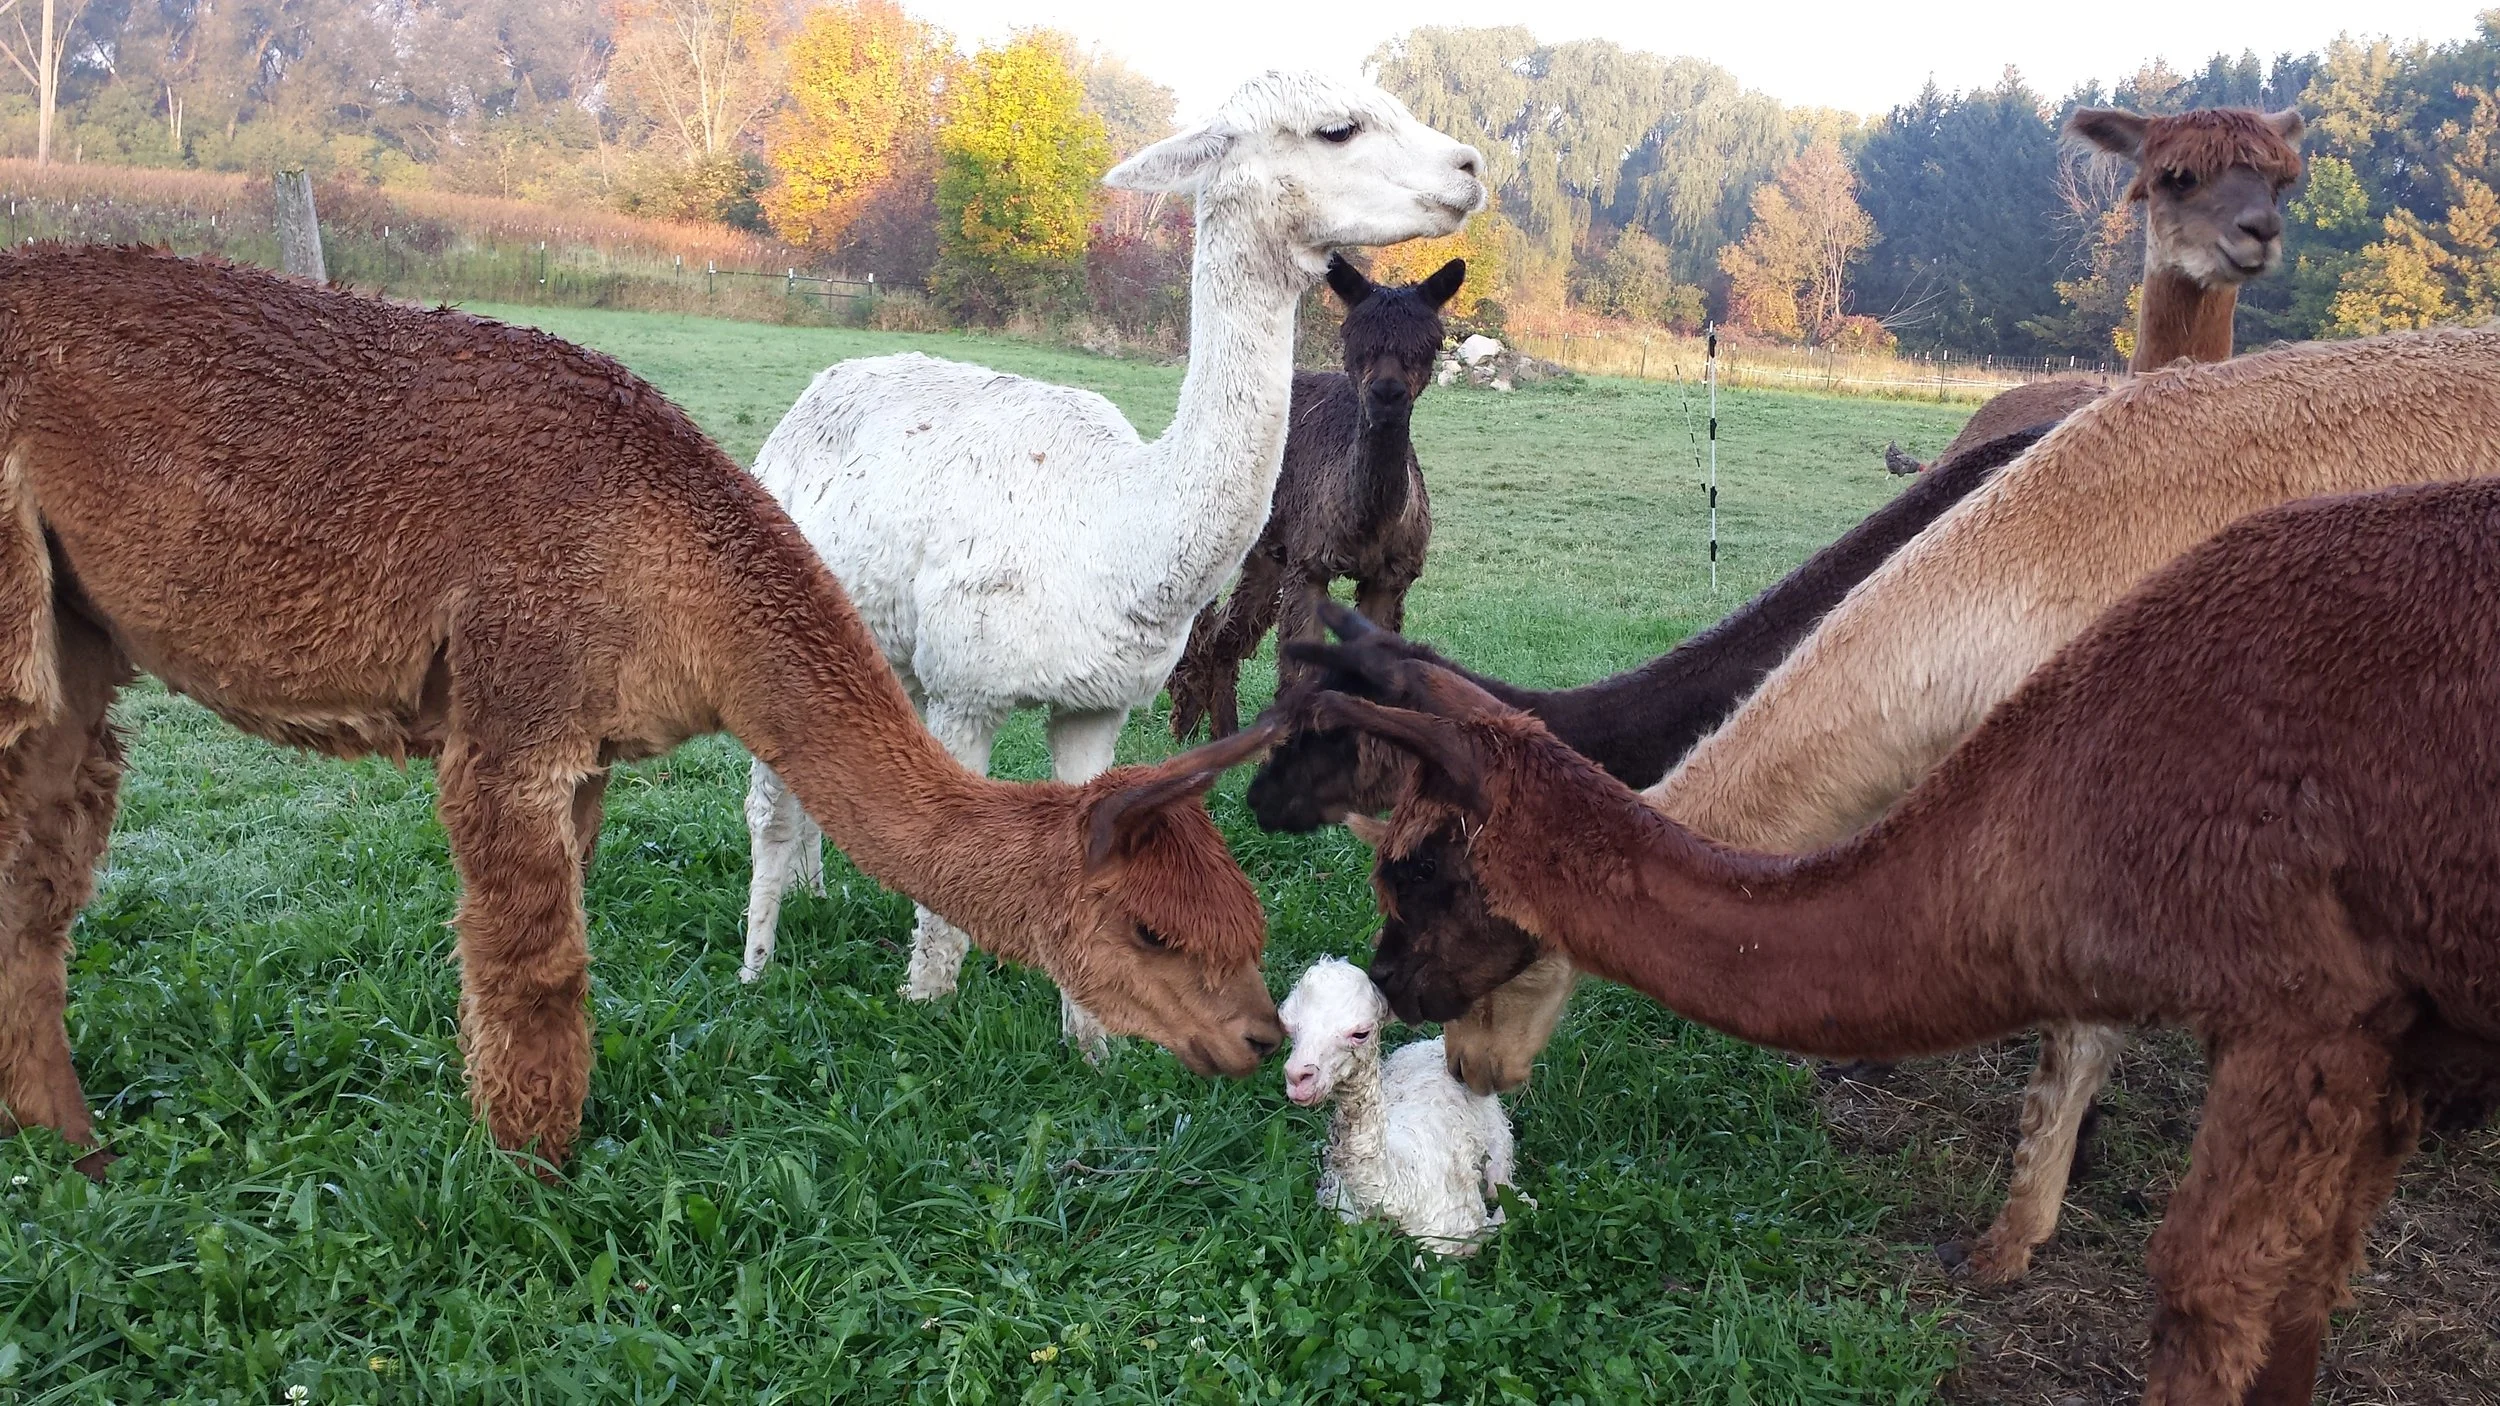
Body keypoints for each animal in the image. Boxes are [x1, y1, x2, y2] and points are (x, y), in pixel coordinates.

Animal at [0, 246, 1286, 1174]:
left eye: (1250, 929)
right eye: (1153, 932)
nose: (1263, 1039)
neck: (676, 564)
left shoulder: (588, 748)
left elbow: (550, 953)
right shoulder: (513, 707)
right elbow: (537, 968)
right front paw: (530, 1184)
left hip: (74, 633)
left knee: (39, 881)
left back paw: (69, 1146)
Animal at [1295, 463, 2500, 1405]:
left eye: (1411, 873)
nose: (1392, 984)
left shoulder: (2302, 1010)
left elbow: (2209, 1296)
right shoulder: (2389, 1037)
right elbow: (2305, 1295)